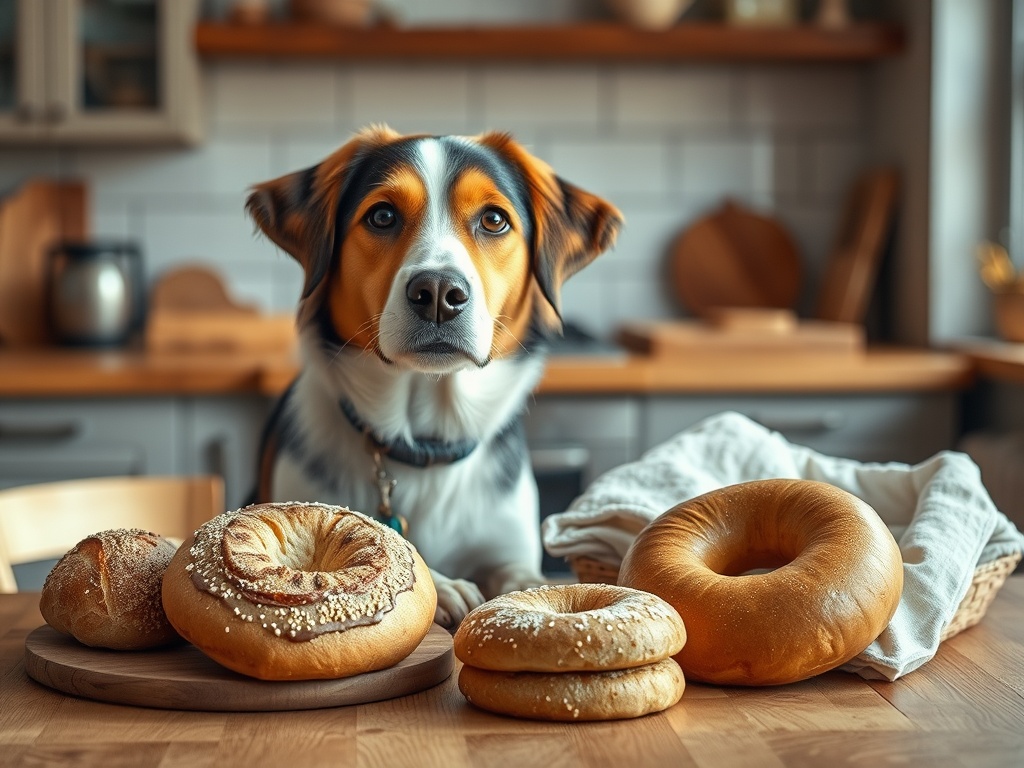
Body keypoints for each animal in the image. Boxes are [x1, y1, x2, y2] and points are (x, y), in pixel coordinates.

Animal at [245, 124, 622, 630]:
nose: (439, 292)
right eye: (382, 215)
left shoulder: (508, 543)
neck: (428, 441)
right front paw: (444, 586)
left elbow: (524, 577)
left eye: (494, 220)